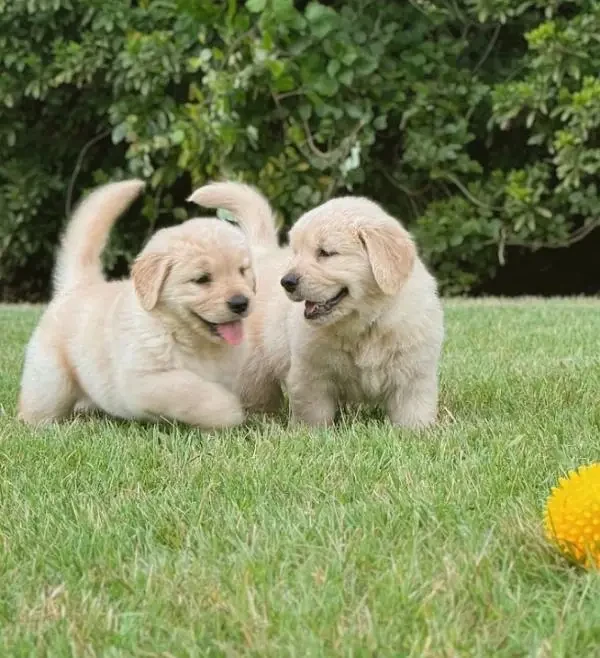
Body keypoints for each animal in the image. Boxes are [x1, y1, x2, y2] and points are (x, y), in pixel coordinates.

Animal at [17, 177, 266, 428]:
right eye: (202, 279)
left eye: (242, 271)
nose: (241, 303)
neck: (185, 337)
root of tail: (79, 285)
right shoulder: (143, 381)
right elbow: (195, 392)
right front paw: (232, 410)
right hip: (52, 380)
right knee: (36, 407)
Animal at [190, 182, 442, 428]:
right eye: (295, 252)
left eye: (325, 253)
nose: (287, 281)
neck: (364, 324)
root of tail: (261, 252)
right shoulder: (310, 374)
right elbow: (313, 414)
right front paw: (311, 434)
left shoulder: (414, 374)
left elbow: (414, 413)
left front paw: (418, 433)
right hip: (254, 362)